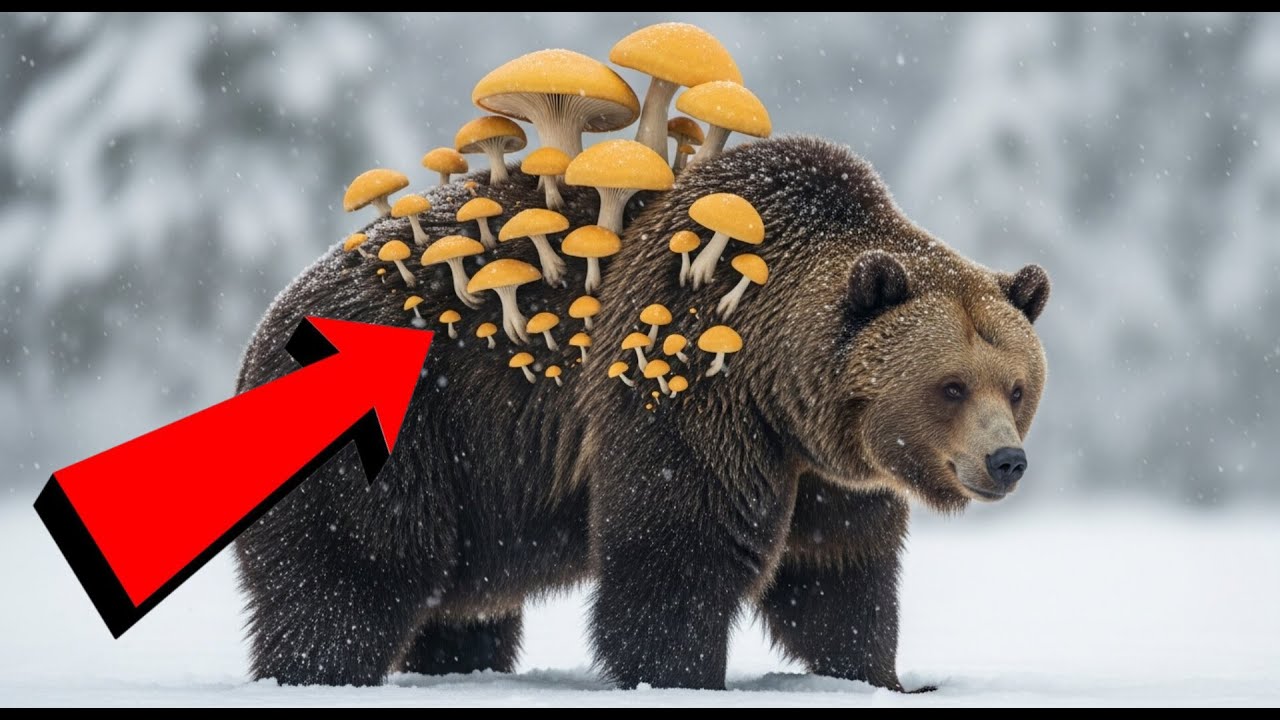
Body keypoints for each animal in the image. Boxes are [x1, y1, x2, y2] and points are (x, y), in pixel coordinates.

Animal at [234, 135, 1050, 691]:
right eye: (950, 385)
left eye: (1015, 387)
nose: (1005, 460)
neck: (781, 388)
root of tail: (264, 327)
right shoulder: (686, 390)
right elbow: (676, 553)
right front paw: (681, 673)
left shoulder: (826, 471)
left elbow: (838, 575)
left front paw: (878, 673)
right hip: (397, 434)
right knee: (354, 572)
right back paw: (320, 669)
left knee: (462, 606)